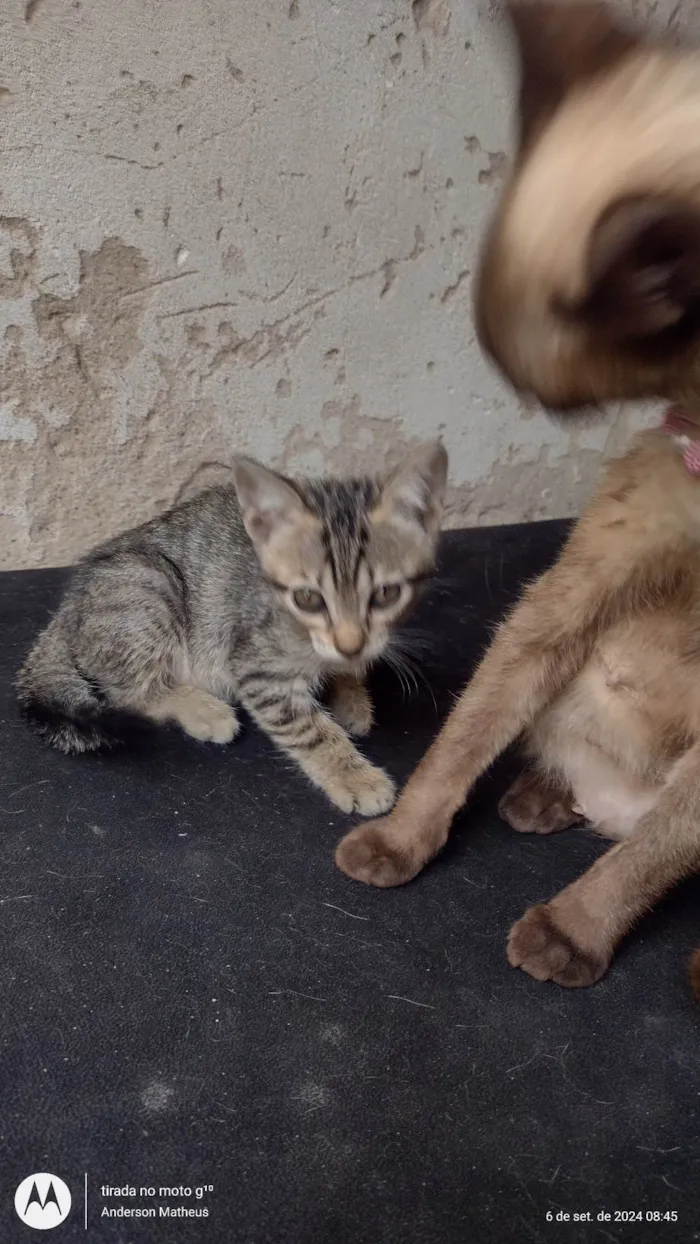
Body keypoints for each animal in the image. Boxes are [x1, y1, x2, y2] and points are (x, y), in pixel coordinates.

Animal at [17, 445, 450, 816]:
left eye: (386, 594)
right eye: (308, 598)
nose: (349, 644)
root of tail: (66, 609)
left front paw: (351, 691)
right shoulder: (254, 665)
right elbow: (308, 728)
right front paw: (353, 776)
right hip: (149, 585)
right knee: (130, 692)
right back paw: (204, 711)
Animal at [335, 0, 700, 990]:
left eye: (560, 406)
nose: (538, 409)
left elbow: (652, 854)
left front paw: (571, 935)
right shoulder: (565, 598)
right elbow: (461, 740)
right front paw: (399, 840)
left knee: (646, 835)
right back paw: (542, 801)